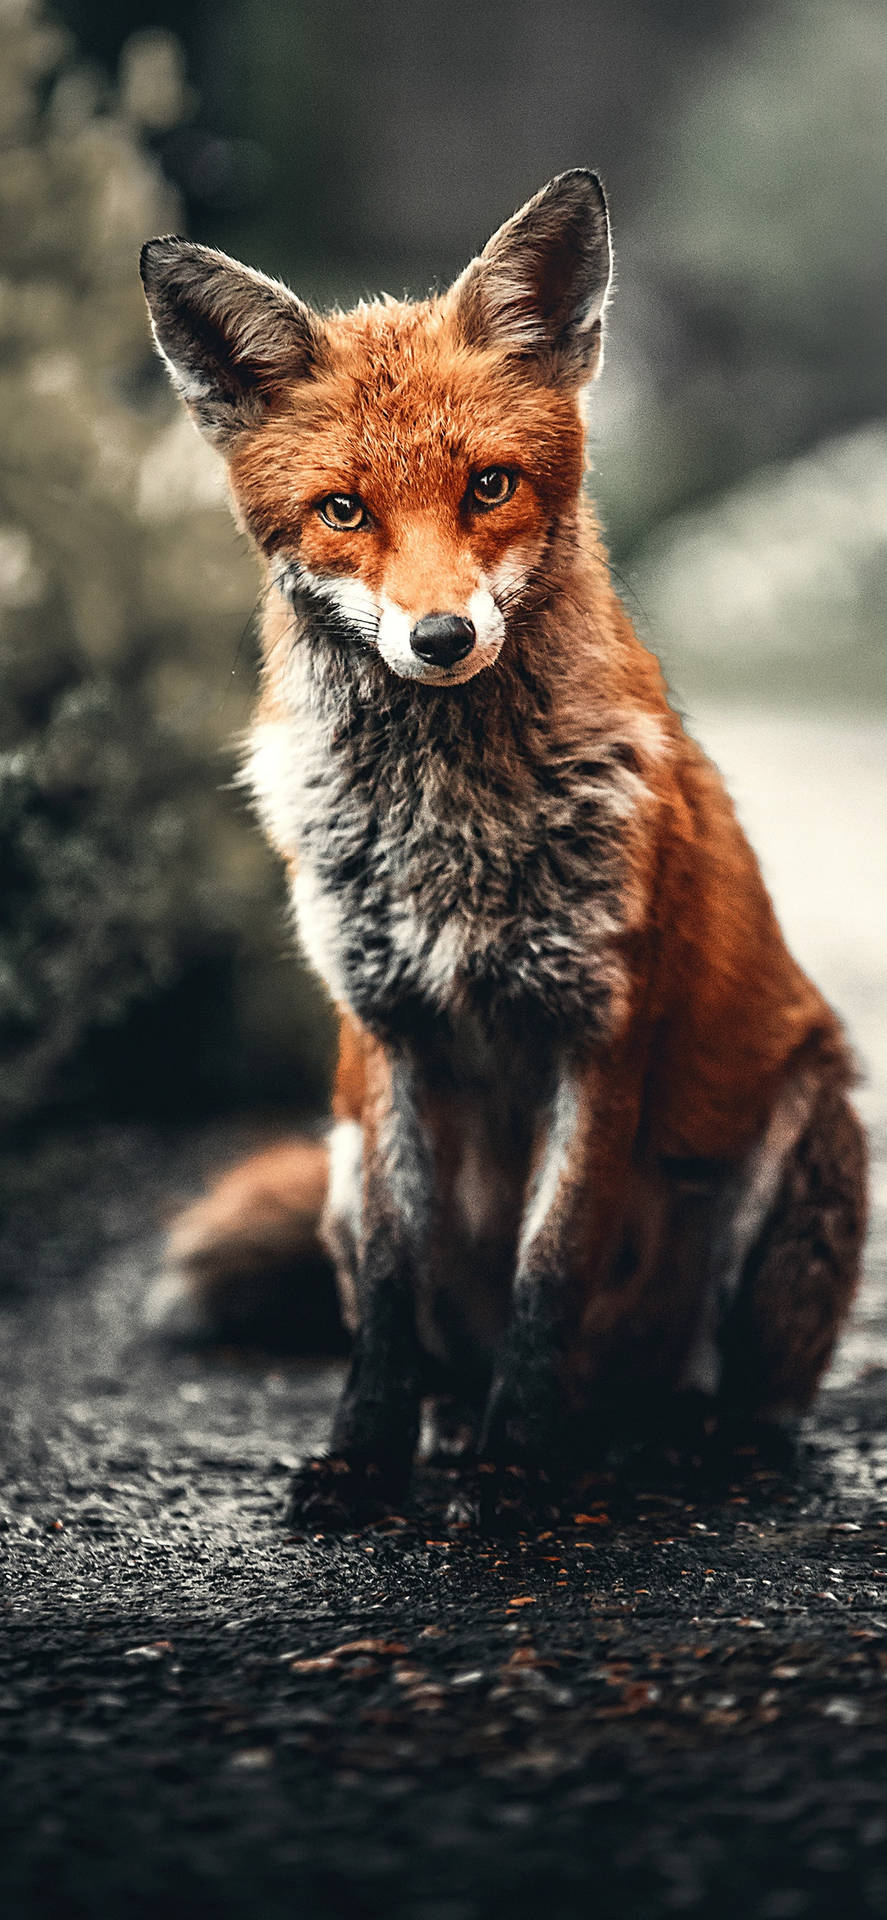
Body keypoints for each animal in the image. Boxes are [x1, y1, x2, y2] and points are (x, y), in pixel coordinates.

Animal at [141, 170, 867, 1528]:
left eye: (487, 486)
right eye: (343, 510)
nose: (438, 638)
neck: (450, 832)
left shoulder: (598, 1028)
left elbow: (550, 1268)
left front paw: (516, 1471)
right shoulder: (381, 1036)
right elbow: (386, 1293)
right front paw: (363, 1459)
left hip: (800, 1137)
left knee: (738, 1399)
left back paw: (674, 1444)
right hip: (334, 1155)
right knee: (436, 1343)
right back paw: (456, 1428)